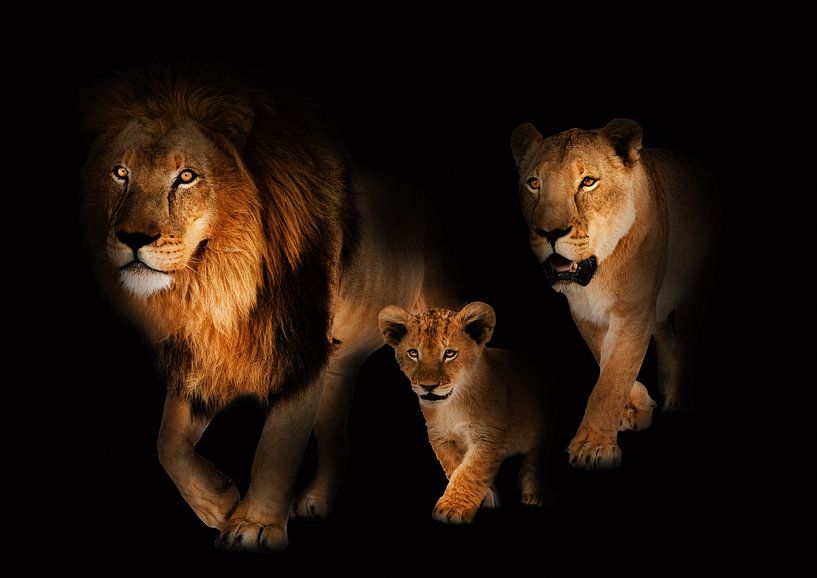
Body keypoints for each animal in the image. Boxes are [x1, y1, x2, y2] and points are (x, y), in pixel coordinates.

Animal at [80, 66, 461, 551]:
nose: (131, 238)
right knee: (336, 441)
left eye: (186, 176)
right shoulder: (202, 358)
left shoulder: (300, 352)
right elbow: (167, 443)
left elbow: (275, 448)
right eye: (120, 172)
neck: (220, 287)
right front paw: (219, 503)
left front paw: (256, 525)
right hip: (336, 373)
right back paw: (315, 500)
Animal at [378, 302, 551, 524]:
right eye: (414, 353)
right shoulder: (440, 437)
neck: (453, 404)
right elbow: (455, 467)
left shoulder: (489, 436)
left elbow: (471, 471)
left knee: (536, 460)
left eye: (449, 353)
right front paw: (486, 498)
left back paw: (534, 494)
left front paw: (452, 509)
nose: (428, 387)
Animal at [511, 119, 717, 470]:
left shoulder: (634, 310)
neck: (598, 271)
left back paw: (678, 397)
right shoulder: (584, 312)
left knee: (688, 338)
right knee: (666, 333)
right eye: (534, 183)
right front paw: (638, 407)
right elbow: (606, 361)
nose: (550, 233)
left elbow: (614, 375)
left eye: (588, 181)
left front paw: (593, 446)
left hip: (696, 286)